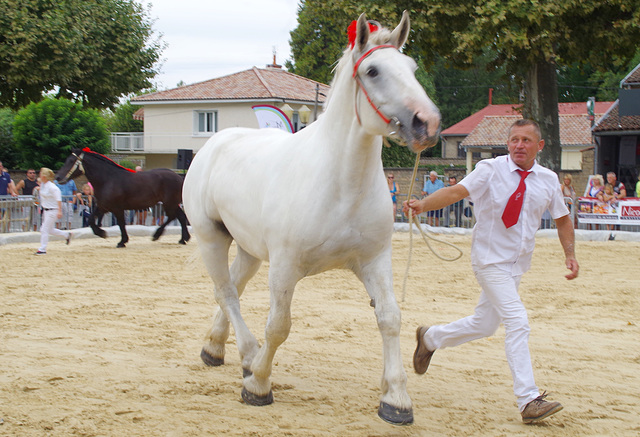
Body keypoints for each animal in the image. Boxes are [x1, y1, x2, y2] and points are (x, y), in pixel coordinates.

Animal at [57, 148, 190, 247]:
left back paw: (157, 235)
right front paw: (102, 233)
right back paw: (183, 239)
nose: (58, 177)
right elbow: (91, 220)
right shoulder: (104, 206)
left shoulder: (117, 208)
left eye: (71, 160)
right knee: (181, 217)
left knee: (173, 216)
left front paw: (122, 241)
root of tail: (180, 177)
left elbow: (121, 224)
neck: (108, 179)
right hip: (172, 203)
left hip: (169, 203)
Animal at [182, 11, 438, 424]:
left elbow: (390, 318)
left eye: (412, 68)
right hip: (211, 238)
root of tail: (214, 144)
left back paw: (217, 348)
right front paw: (259, 386)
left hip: (250, 251)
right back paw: (248, 356)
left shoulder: (374, 261)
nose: (426, 123)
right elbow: (278, 326)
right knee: (226, 293)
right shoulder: (285, 267)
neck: (341, 185)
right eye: (373, 71)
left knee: (233, 288)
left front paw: (396, 398)